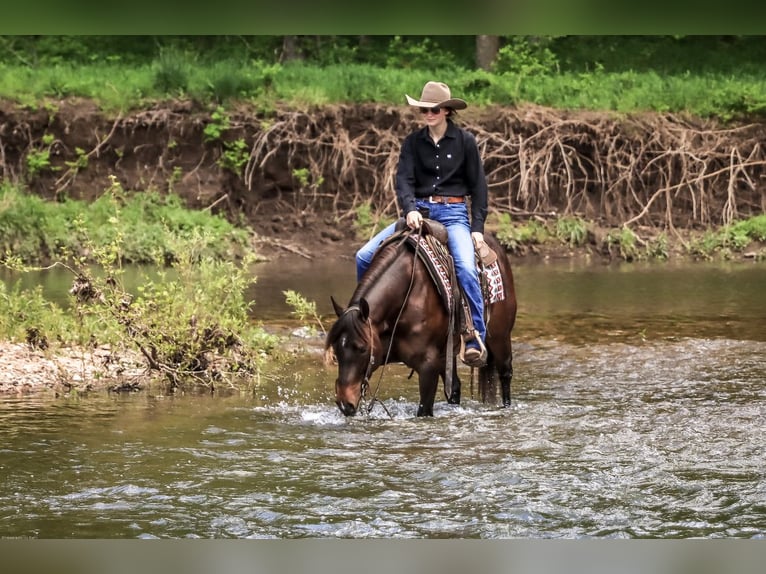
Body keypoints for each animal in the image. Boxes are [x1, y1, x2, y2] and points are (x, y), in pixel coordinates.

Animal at [325, 221, 517, 417]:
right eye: (336, 349)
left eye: (363, 349)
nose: (344, 403)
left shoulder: (428, 366)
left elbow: (424, 410)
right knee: (455, 388)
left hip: (500, 337)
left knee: (505, 374)